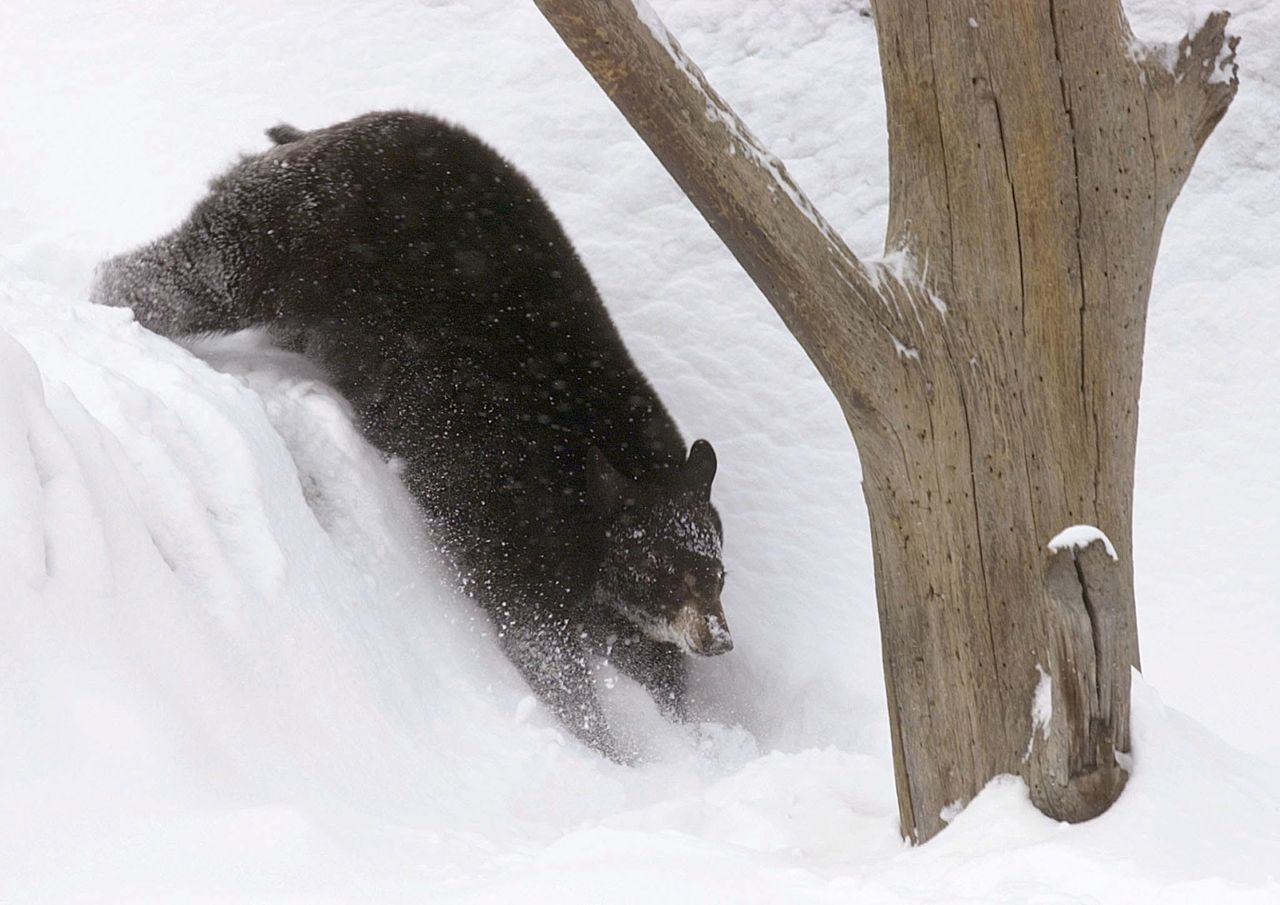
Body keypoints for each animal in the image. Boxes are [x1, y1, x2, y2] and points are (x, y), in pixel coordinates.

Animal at [90, 115, 732, 762]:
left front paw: (688, 725)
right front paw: (611, 744)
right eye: (665, 571)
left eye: (718, 572)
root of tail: (324, 130)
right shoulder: (511, 505)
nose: (719, 638)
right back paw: (107, 299)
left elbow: (643, 652)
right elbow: (534, 629)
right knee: (197, 277)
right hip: (289, 233)